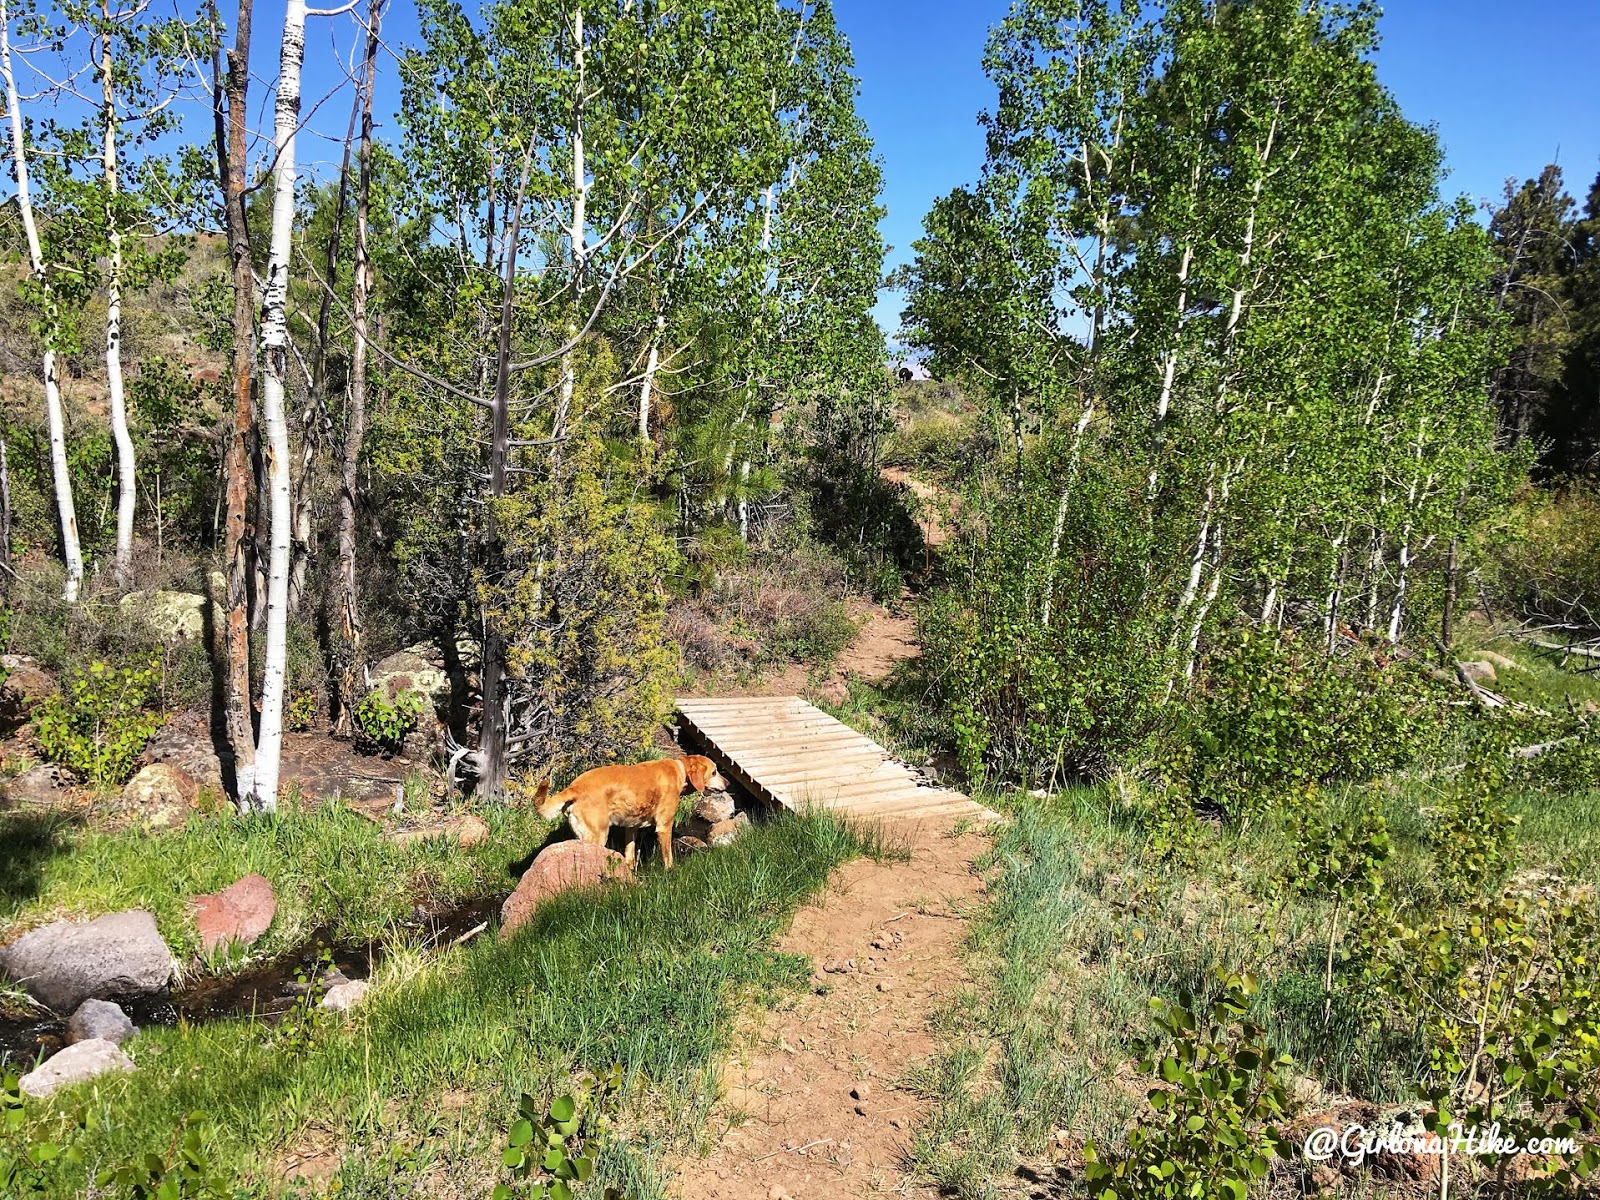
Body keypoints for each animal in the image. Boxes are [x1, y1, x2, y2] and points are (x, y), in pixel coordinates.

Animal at [534, 755, 729, 870]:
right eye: (714, 772)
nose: (728, 784)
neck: (680, 770)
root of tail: (574, 787)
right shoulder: (664, 826)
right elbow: (668, 857)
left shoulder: (631, 828)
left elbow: (630, 853)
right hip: (598, 836)